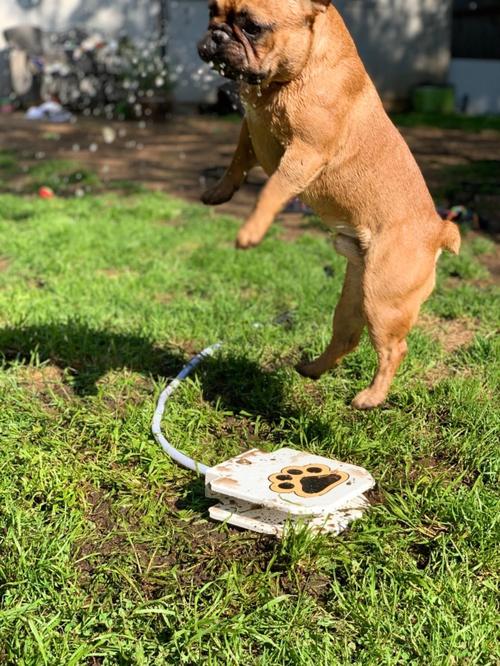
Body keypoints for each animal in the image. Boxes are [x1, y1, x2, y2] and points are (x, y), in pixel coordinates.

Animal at [196, 0, 460, 408]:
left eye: (252, 26)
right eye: (211, 11)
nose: (217, 33)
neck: (288, 78)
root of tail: (437, 231)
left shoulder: (304, 155)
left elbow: (271, 190)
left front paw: (250, 231)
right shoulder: (251, 131)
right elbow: (236, 161)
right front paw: (219, 192)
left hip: (384, 299)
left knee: (394, 349)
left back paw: (371, 397)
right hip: (355, 296)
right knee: (346, 337)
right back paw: (313, 369)